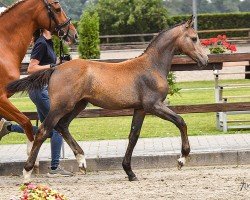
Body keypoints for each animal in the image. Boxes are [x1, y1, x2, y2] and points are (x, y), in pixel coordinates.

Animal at [6, 17, 208, 183]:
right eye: (194, 38)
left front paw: (130, 172)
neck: (152, 66)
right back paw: (27, 173)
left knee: (62, 126)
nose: (205, 60)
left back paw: (82, 162)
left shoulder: (140, 108)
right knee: (43, 131)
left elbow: (133, 136)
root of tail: (55, 69)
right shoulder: (154, 105)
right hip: (61, 106)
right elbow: (181, 121)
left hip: (78, 105)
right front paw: (182, 159)